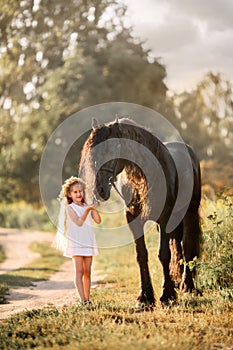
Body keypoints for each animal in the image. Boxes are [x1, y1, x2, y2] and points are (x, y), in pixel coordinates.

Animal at [78, 117, 202, 306]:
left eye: (114, 148)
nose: (99, 190)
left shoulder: (164, 219)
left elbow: (163, 254)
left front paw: (167, 295)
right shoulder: (133, 219)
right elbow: (141, 255)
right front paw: (145, 297)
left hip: (190, 212)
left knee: (186, 245)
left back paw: (187, 286)